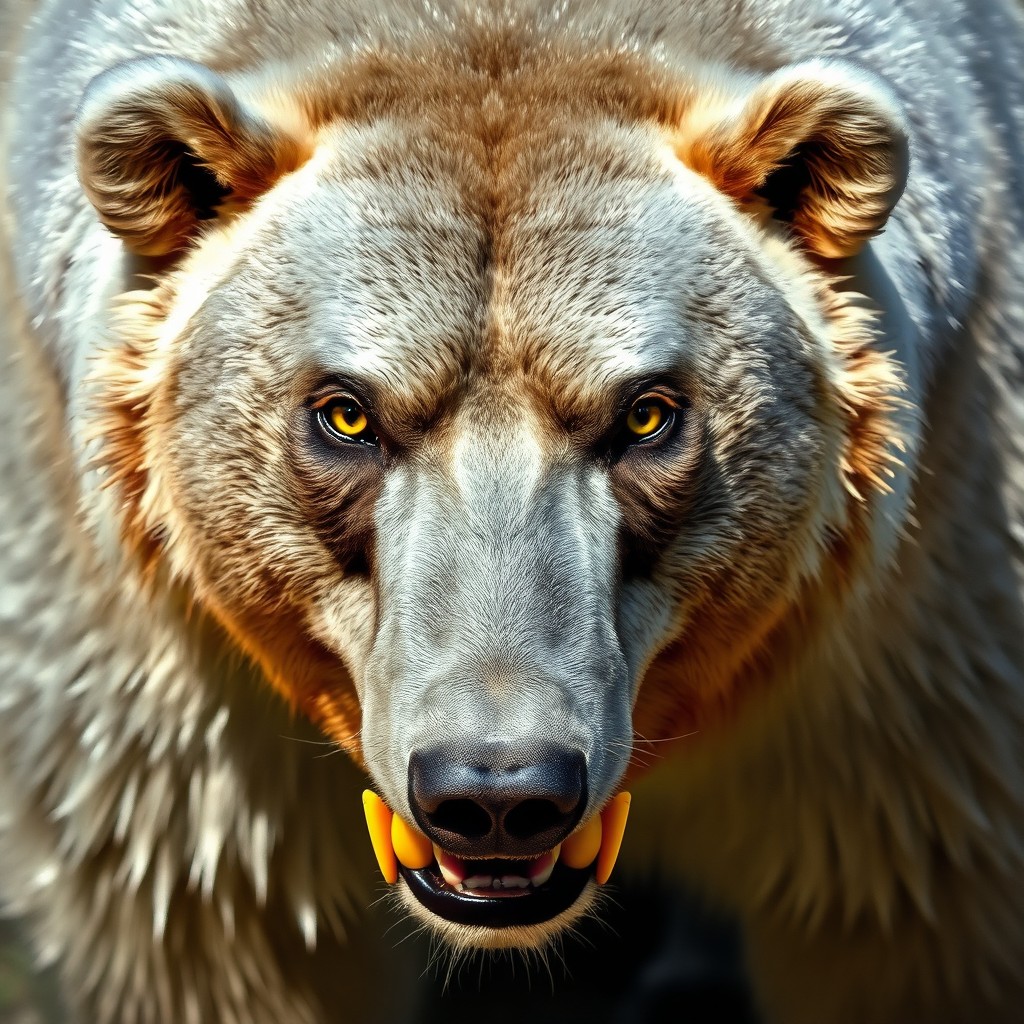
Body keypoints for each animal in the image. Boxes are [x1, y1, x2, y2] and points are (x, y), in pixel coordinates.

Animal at [2, 0, 1024, 1022]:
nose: (497, 792)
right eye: (346, 412)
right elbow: (216, 919)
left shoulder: (902, 676)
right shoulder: (175, 714)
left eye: (647, 413)